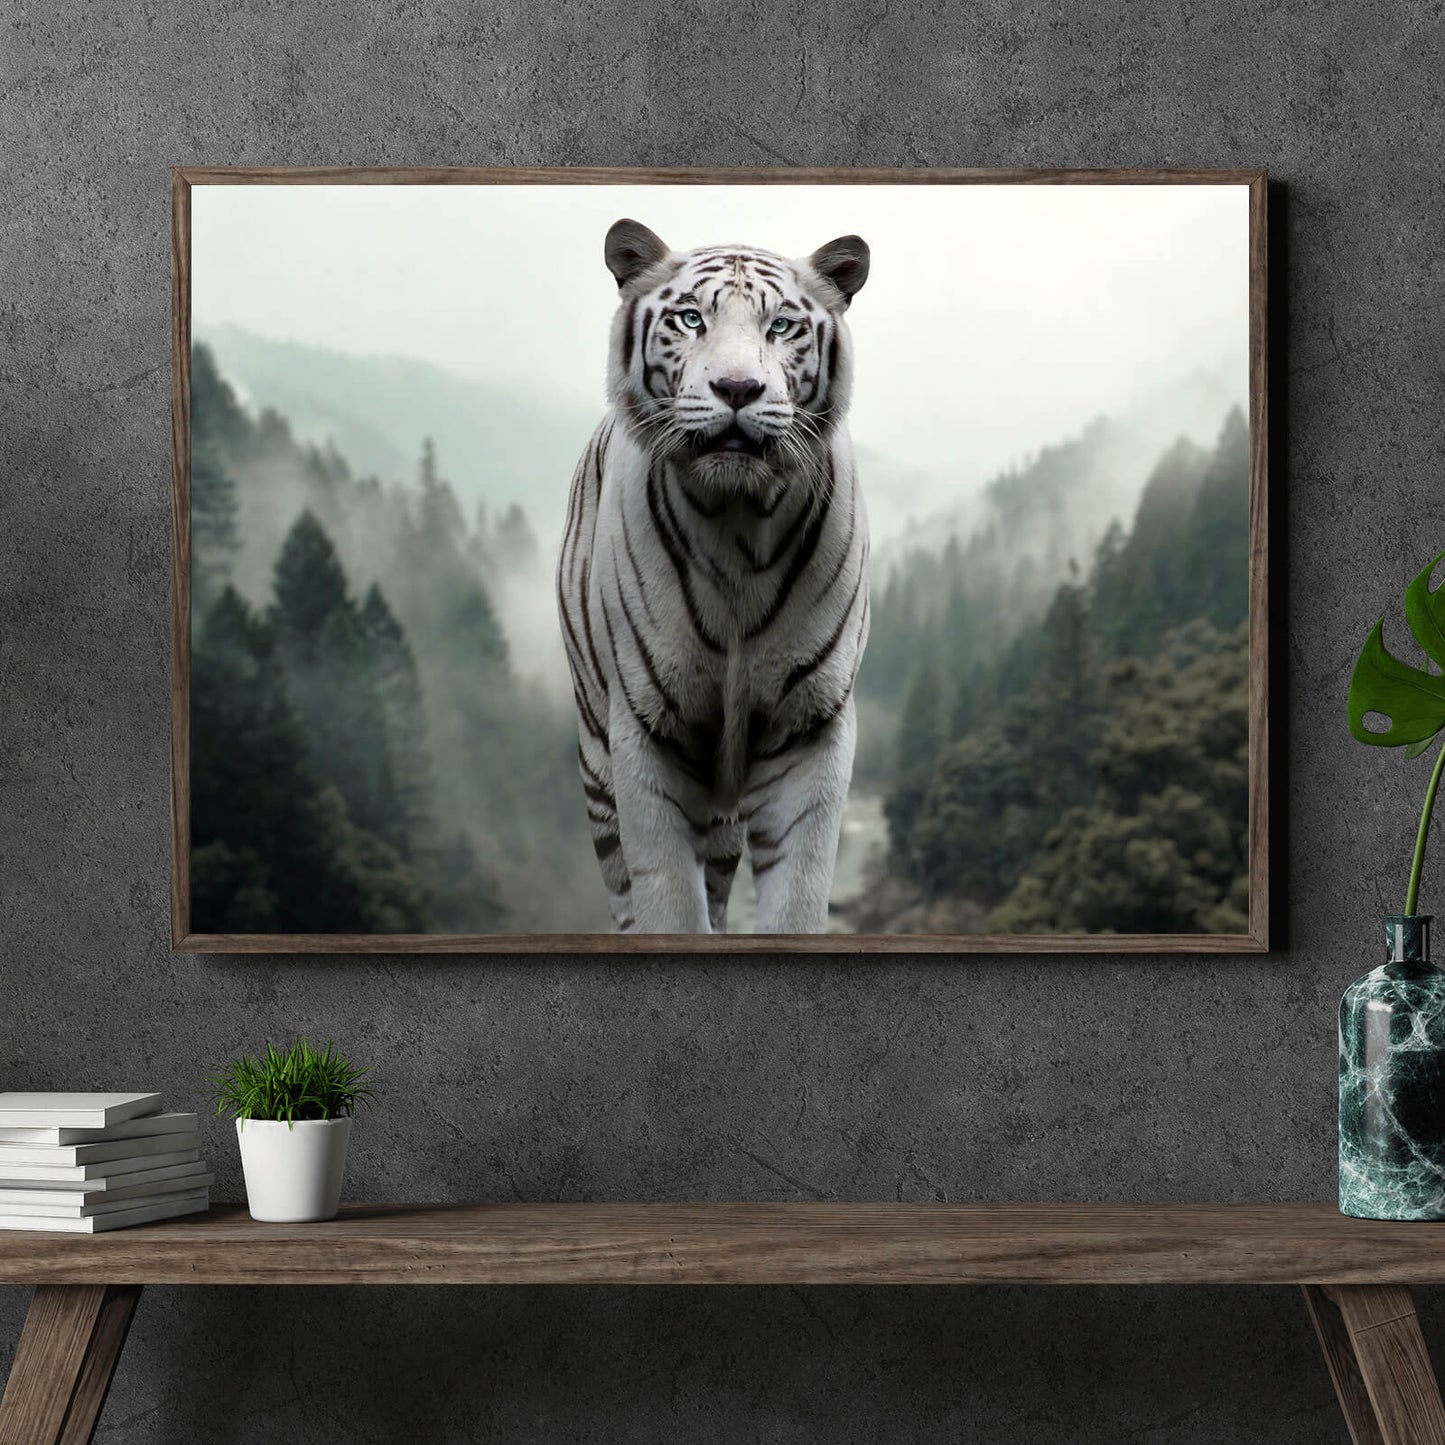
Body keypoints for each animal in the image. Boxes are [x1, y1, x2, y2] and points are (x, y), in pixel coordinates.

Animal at [556, 218, 871, 934]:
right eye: (691, 318)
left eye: (781, 325)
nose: (736, 388)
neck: (738, 524)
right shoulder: (647, 729)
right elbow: (668, 896)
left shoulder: (811, 725)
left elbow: (798, 895)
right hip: (596, 758)